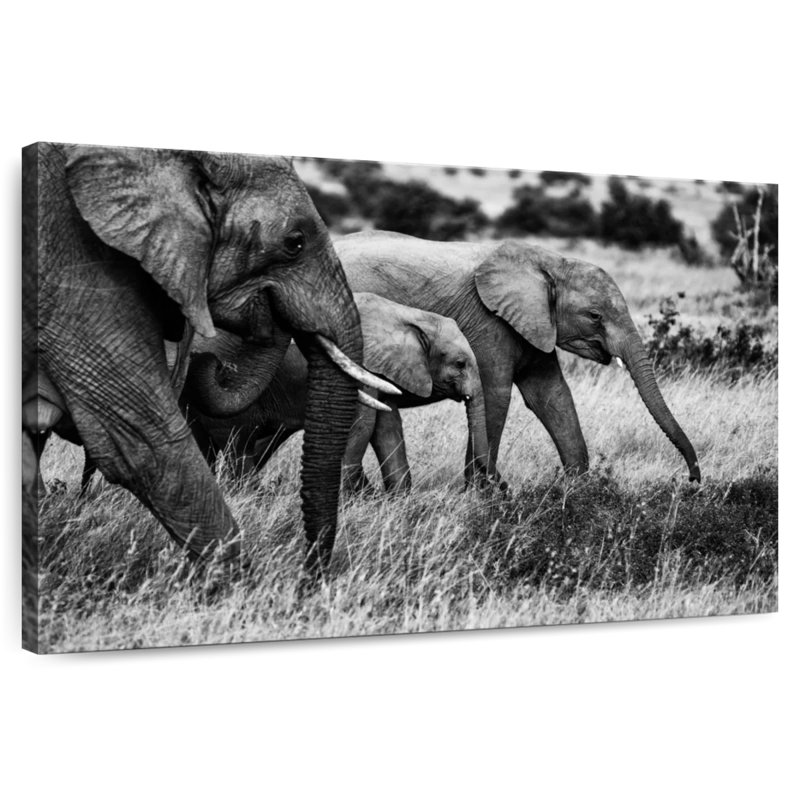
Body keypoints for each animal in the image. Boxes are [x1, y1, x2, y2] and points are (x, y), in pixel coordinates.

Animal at [183, 292, 503, 494]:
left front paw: (398, 498)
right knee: (237, 444)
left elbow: (386, 425)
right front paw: (349, 497)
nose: (489, 486)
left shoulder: (380, 371)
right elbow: (361, 422)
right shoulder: (359, 362)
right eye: (459, 364)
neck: (410, 316)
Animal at [335, 231, 701, 484]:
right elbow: (496, 396)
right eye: (595, 315)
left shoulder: (535, 323)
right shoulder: (488, 322)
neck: (552, 263)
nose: (691, 481)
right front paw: (483, 494)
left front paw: (579, 491)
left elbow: (552, 396)